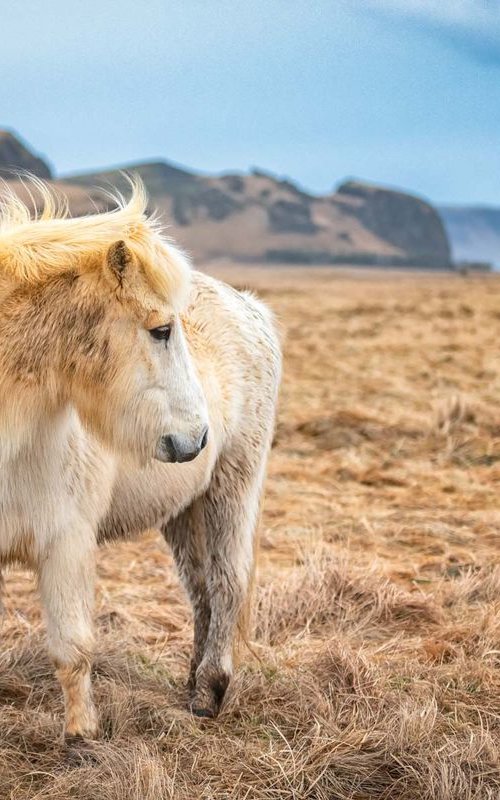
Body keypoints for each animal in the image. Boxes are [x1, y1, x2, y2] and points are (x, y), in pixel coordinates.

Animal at [0, 178, 282, 740]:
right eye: (161, 330)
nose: (196, 437)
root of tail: (248, 307)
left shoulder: (66, 543)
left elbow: (72, 650)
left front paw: (82, 739)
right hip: (183, 509)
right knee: (200, 590)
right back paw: (193, 683)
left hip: (231, 488)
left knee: (228, 581)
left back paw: (209, 694)